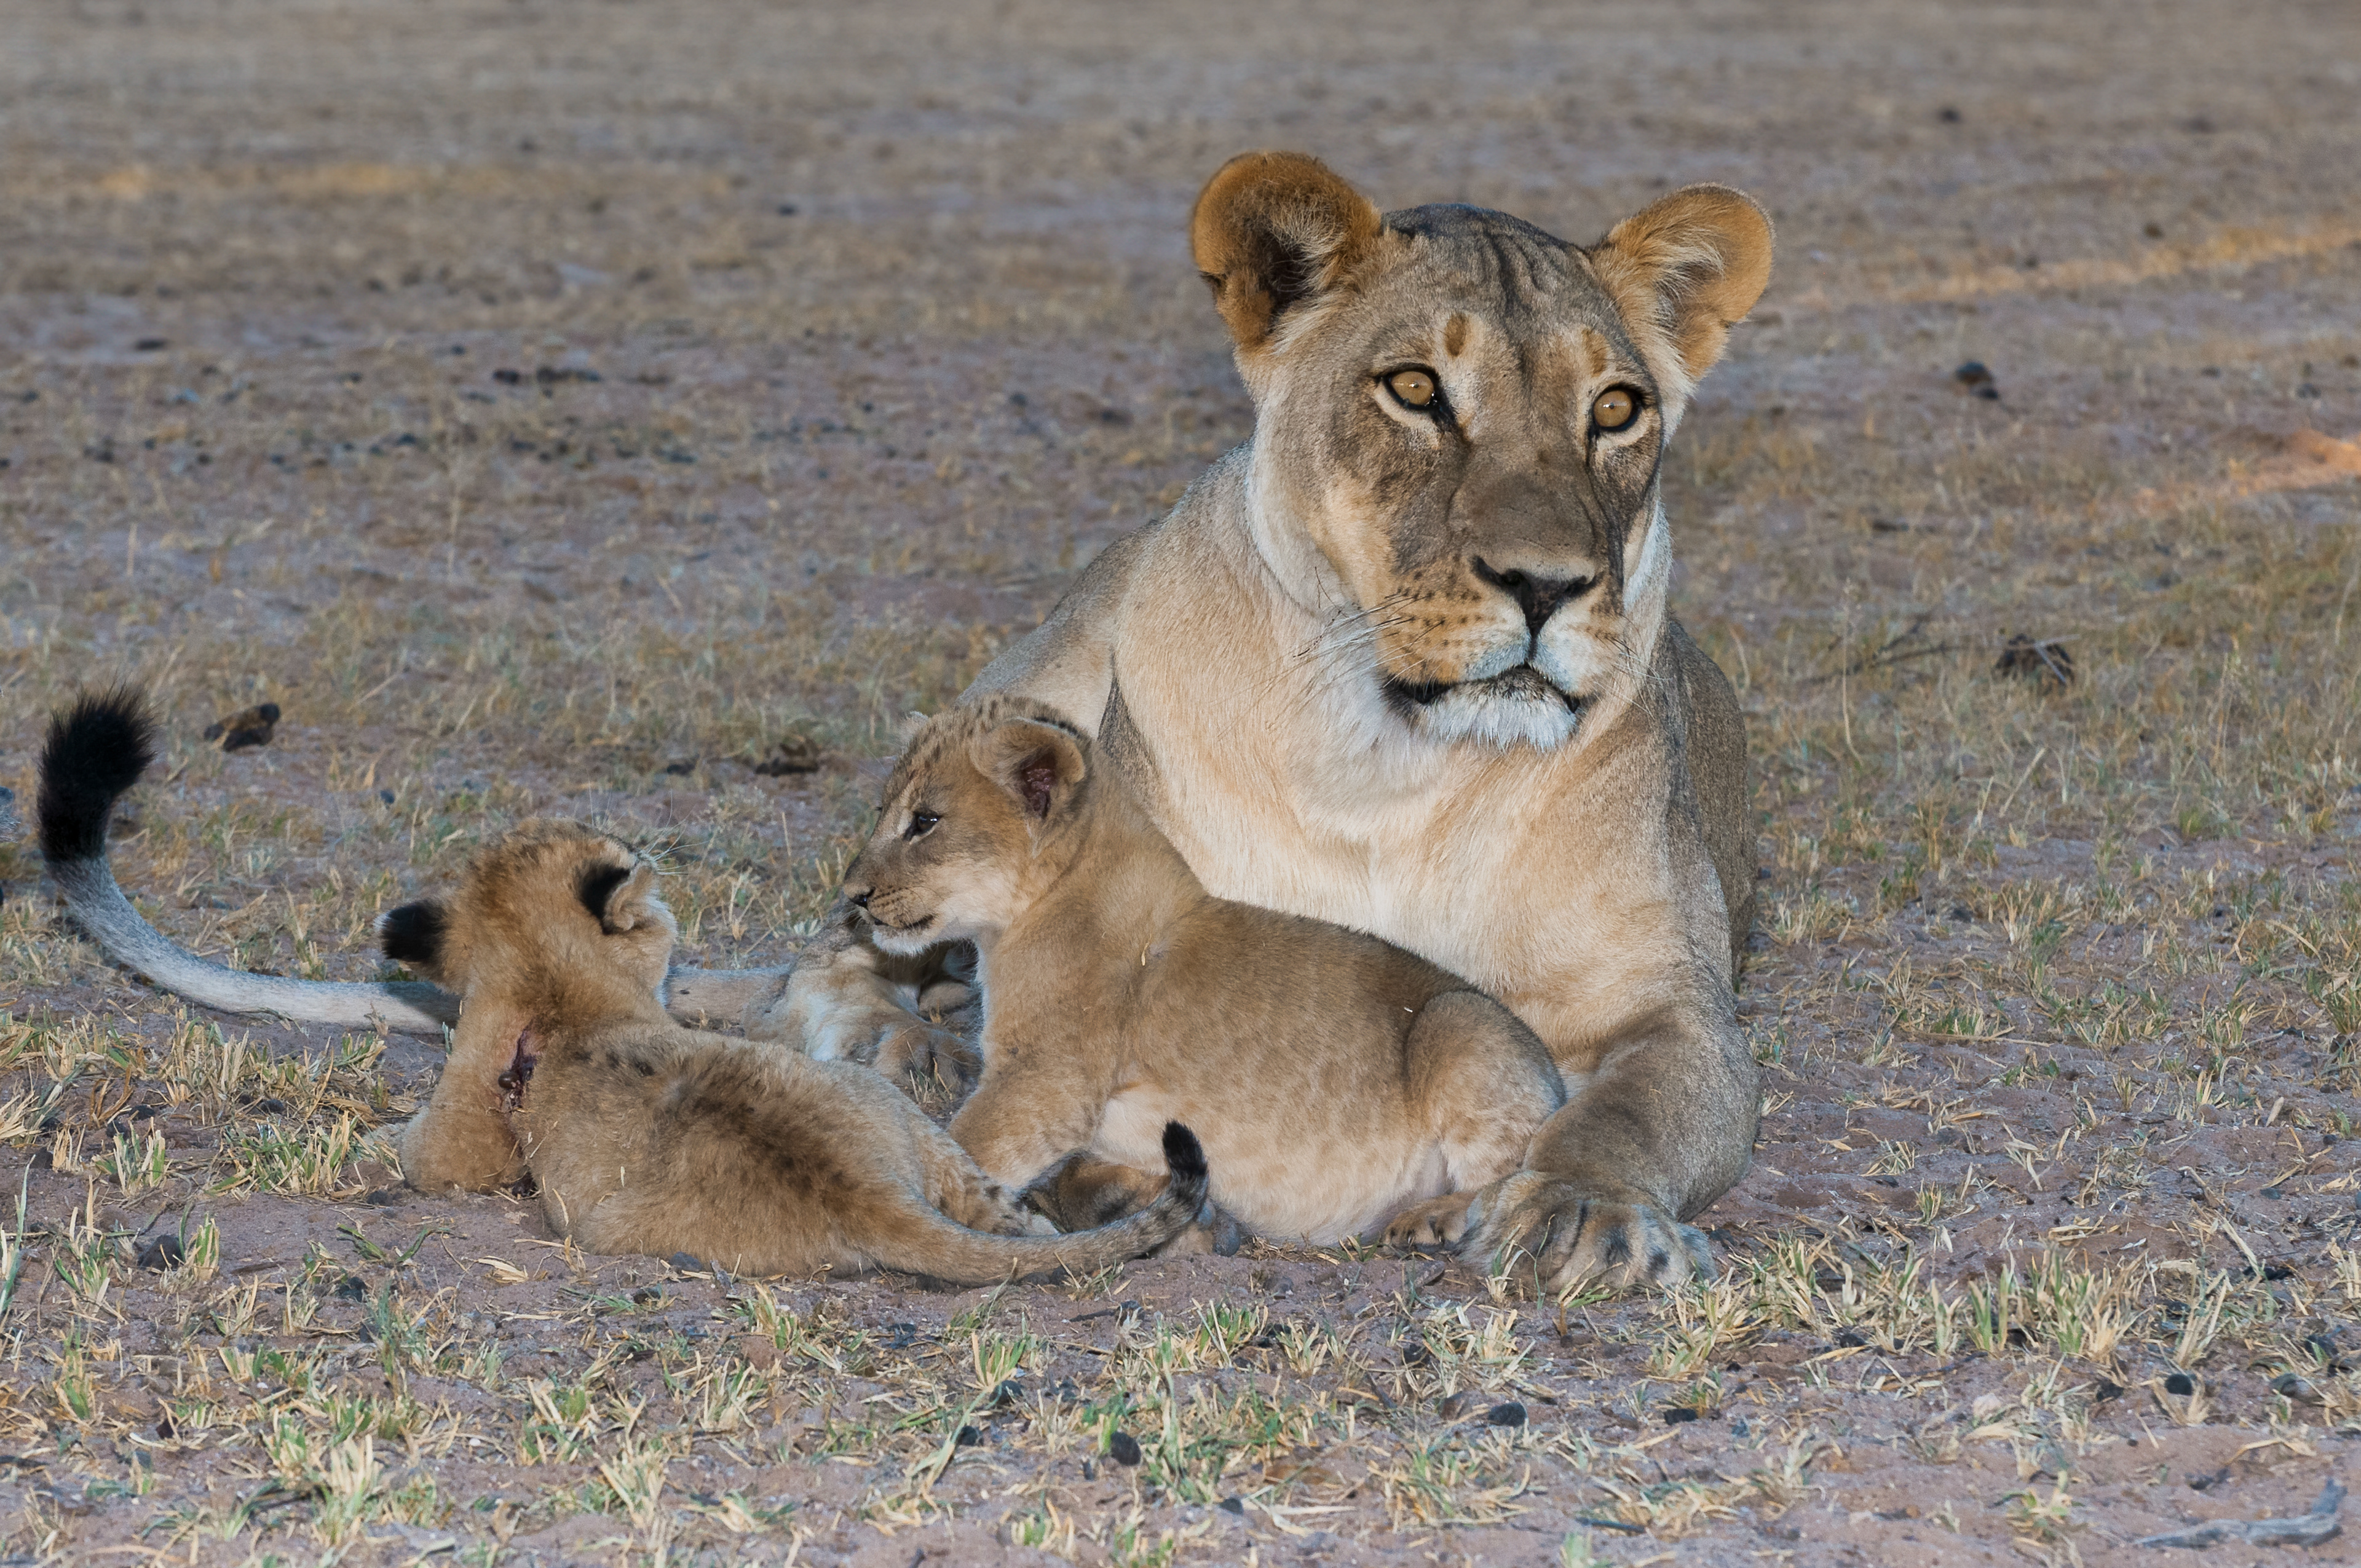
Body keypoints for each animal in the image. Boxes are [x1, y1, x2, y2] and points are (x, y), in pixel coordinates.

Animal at [839, 698, 1567, 1248]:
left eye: (925, 821)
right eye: (882, 812)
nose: (852, 896)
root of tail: (1553, 1075)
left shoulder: (1045, 1080)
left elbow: (959, 1144)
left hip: (1460, 1020)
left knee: (1520, 1180)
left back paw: (1431, 1219)